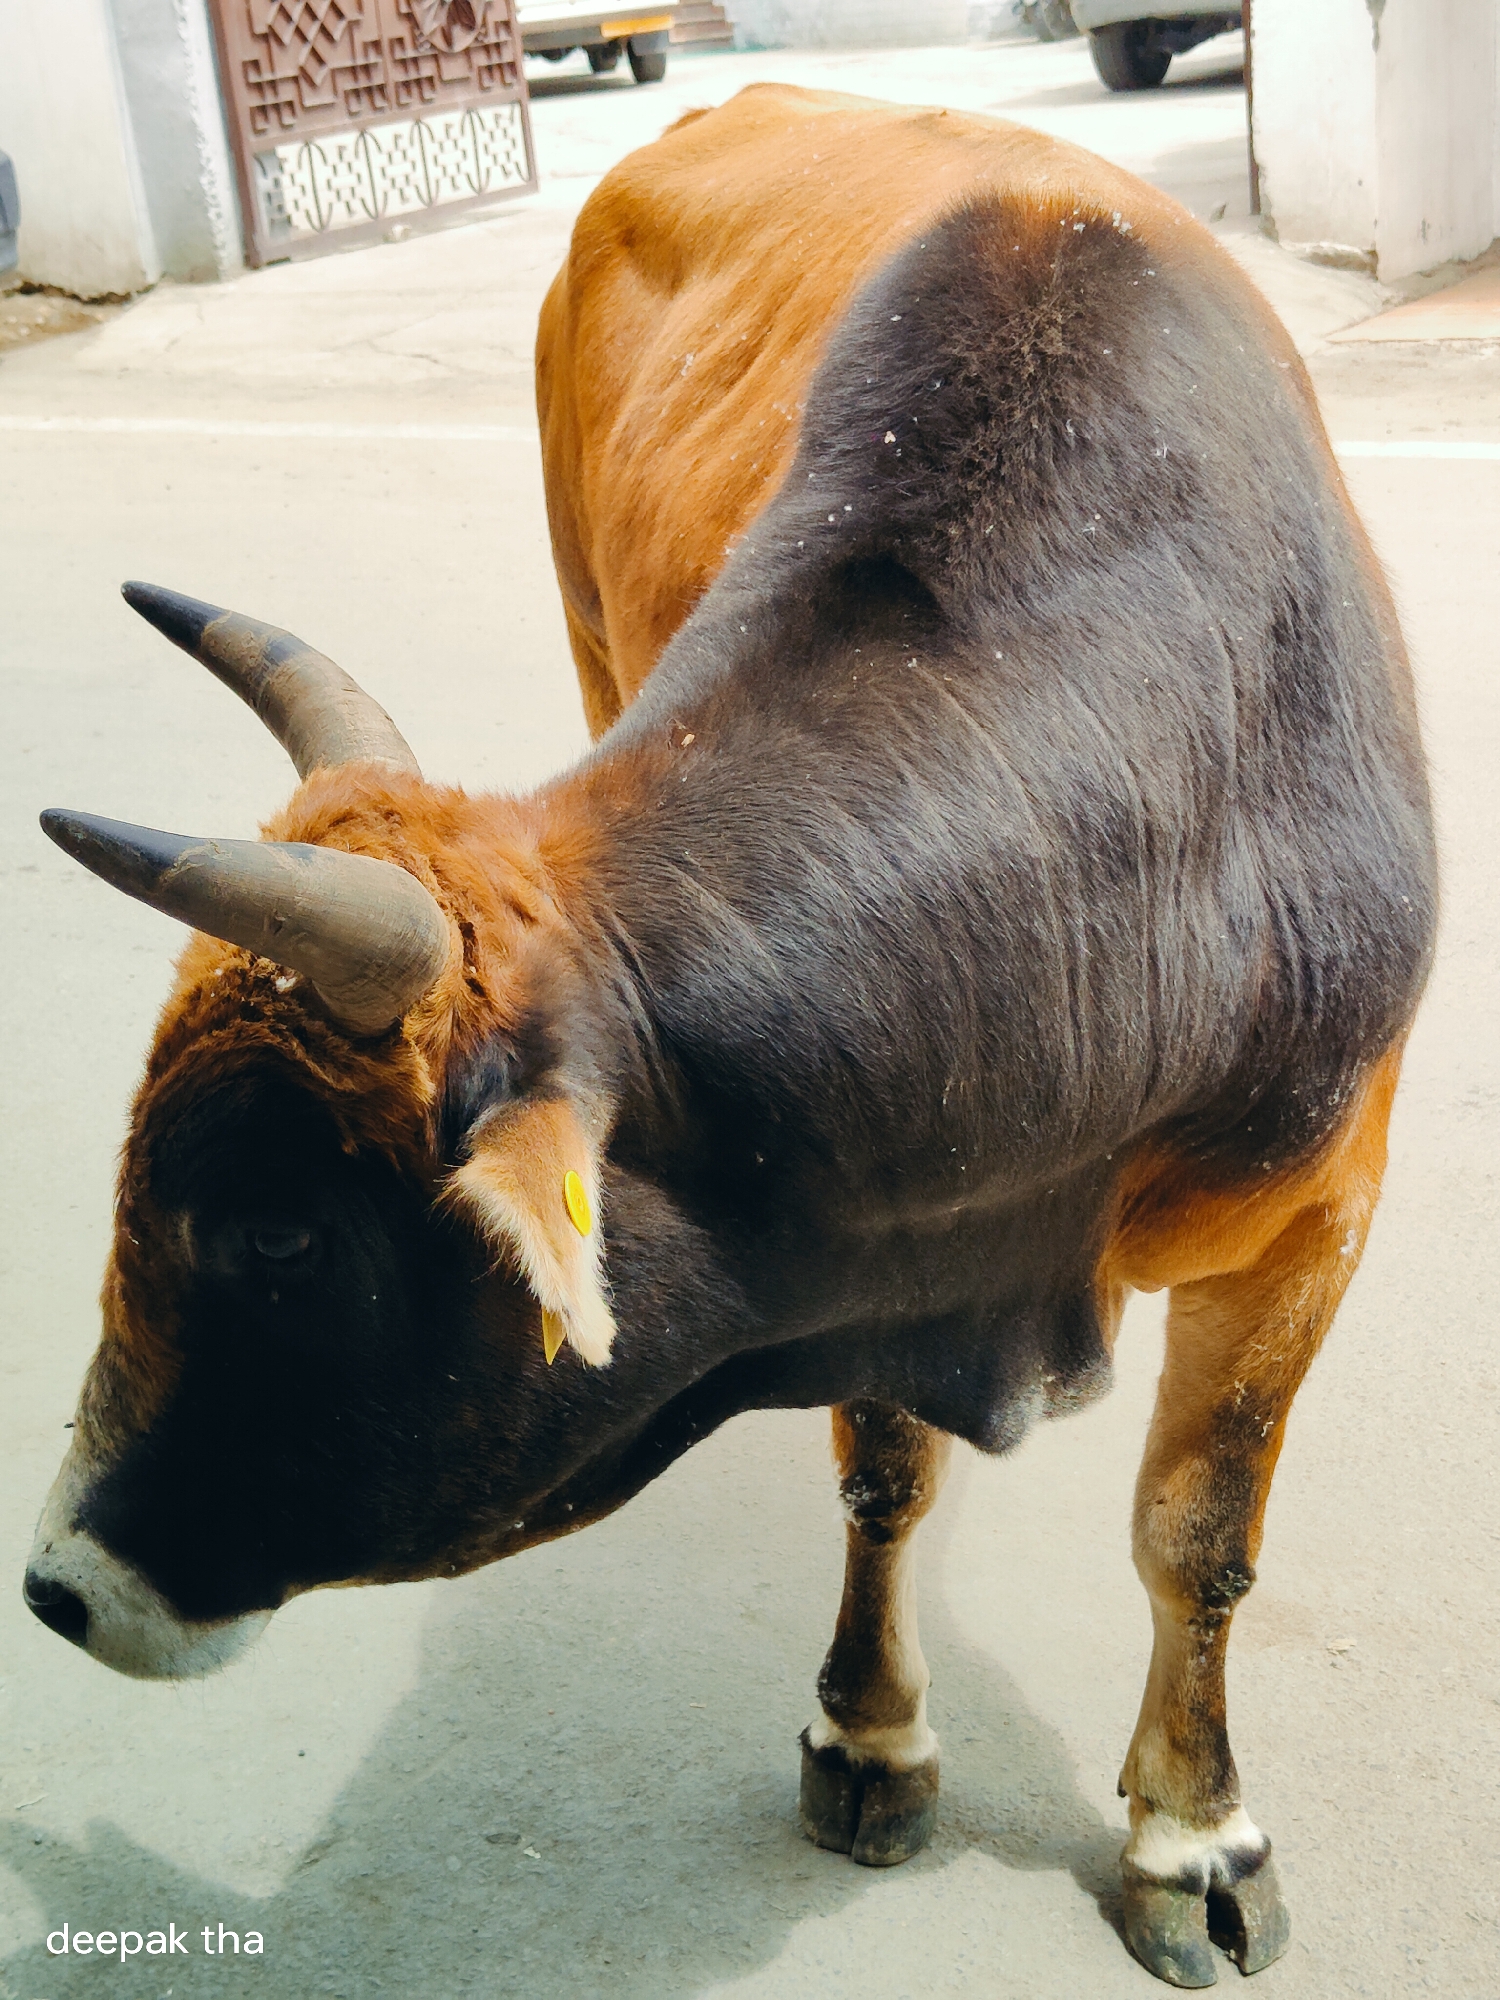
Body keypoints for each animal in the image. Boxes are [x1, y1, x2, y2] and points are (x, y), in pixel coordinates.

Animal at [24, 84, 1434, 1989]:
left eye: (278, 1234)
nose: (60, 1584)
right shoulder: (879, 1220)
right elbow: (885, 1474)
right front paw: (871, 1736)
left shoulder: (1319, 1211)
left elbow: (1197, 1537)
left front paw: (1195, 1834)